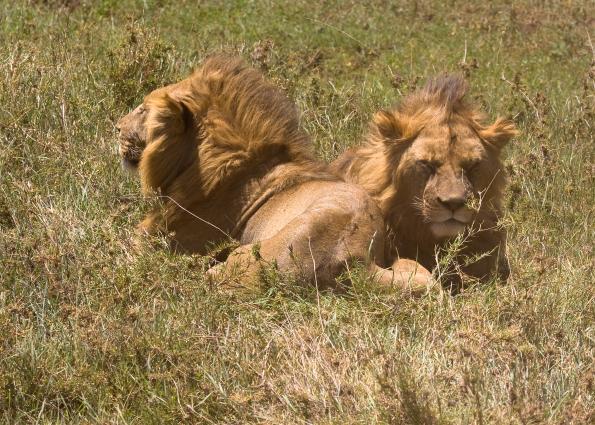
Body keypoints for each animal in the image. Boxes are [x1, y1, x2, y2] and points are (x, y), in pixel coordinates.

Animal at [116, 54, 434, 294]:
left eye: (142, 110)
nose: (116, 128)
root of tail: (354, 261)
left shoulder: (172, 238)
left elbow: (129, 241)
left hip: (242, 257)